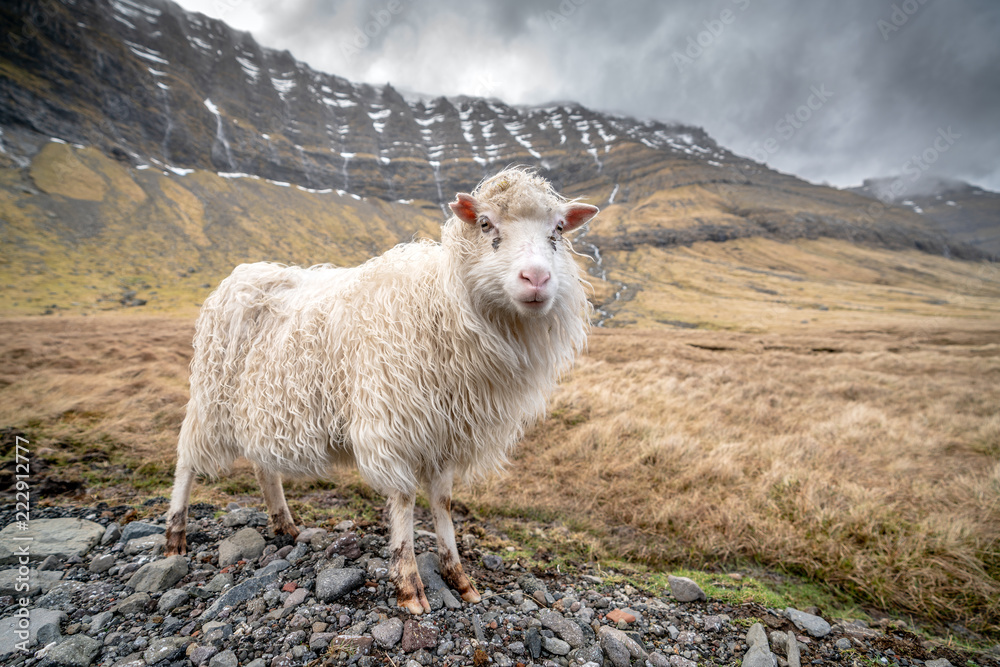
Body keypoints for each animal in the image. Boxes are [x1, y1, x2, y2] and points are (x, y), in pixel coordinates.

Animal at [163, 166, 599, 614]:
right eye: (485, 223)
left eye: (558, 229)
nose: (537, 278)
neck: (443, 304)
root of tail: (242, 273)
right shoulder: (394, 421)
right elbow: (404, 500)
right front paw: (409, 585)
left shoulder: (445, 431)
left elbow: (442, 503)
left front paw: (457, 576)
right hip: (211, 394)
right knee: (187, 459)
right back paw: (175, 536)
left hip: (262, 404)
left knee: (263, 466)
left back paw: (284, 525)